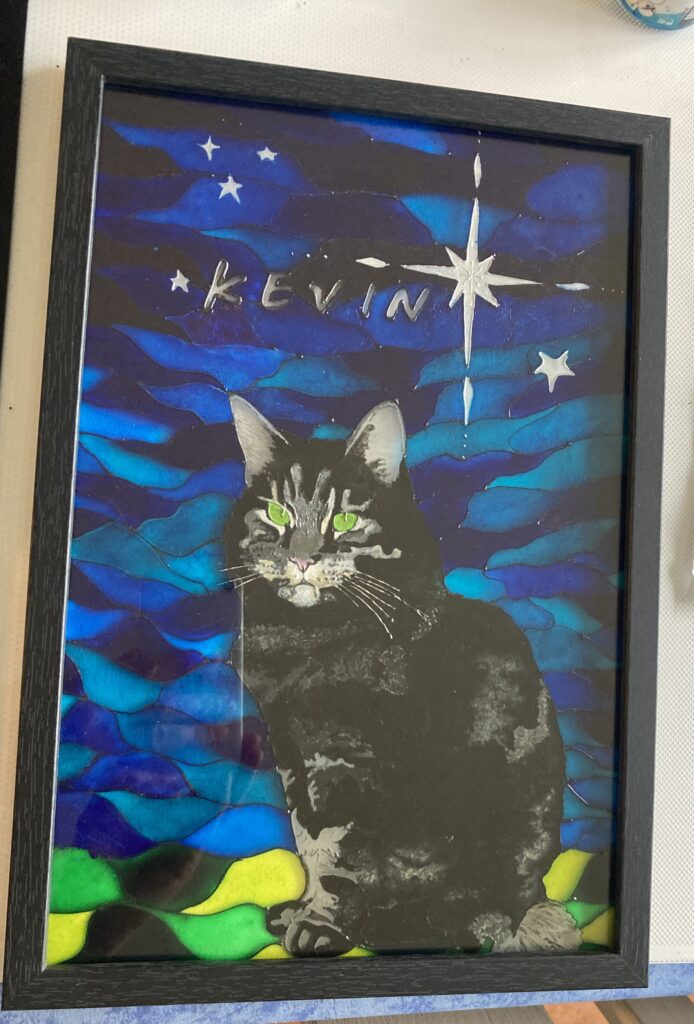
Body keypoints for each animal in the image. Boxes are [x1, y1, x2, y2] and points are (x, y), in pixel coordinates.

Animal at [224, 395, 573, 957]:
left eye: (345, 518)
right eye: (276, 512)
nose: (301, 558)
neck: (304, 635)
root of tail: (530, 905)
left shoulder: (351, 765)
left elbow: (336, 857)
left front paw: (323, 926)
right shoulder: (293, 754)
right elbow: (308, 844)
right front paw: (304, 909)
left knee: (461, 916)